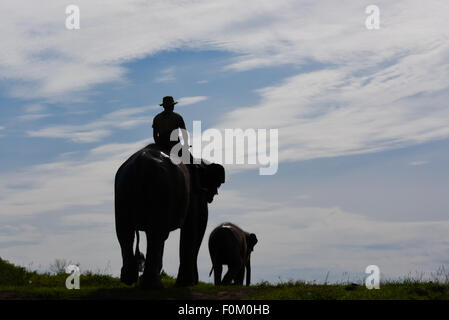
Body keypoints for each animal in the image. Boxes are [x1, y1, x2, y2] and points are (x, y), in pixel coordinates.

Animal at [114, 144, 222, 288]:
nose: (196, 282)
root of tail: (140, 163)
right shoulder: (194, 194)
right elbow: (191, 228)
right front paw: (185, 284)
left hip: (122, 189)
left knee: (125, 232)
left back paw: (130, 280)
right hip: (161, 188)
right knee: (156, 233)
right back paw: (154, 285)